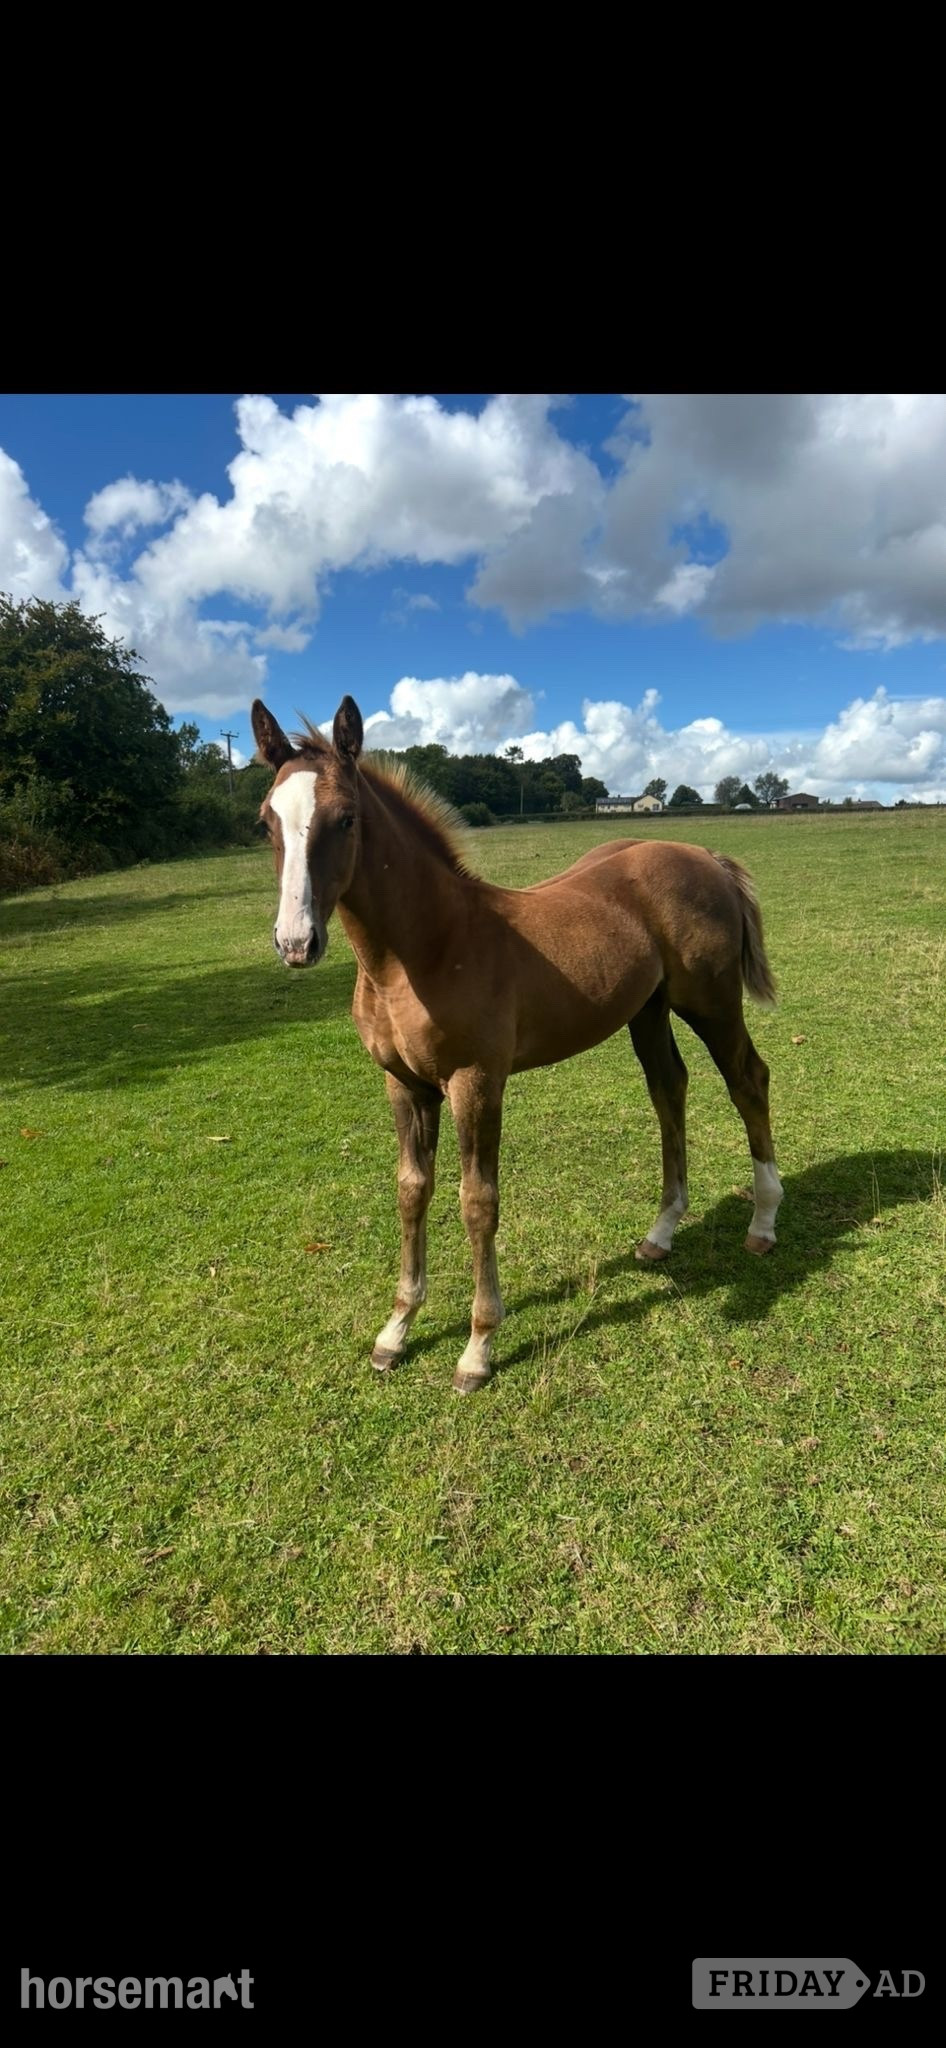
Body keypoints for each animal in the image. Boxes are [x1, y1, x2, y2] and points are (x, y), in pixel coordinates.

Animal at [252, 694, 783, 1393]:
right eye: (265, 822)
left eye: (346, 818)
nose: (296, 943)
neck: (427, 947)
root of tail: (704, 854)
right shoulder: (404, 1084)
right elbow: (411, 1190)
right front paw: (396, 1331)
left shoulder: (476, 1081)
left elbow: (477, 1201)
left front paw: (478, 1347)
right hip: (648, 1011)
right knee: (670, 1088)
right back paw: (661, 1232)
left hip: (712, 1003)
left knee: (748, 1080)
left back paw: (763, 1222)